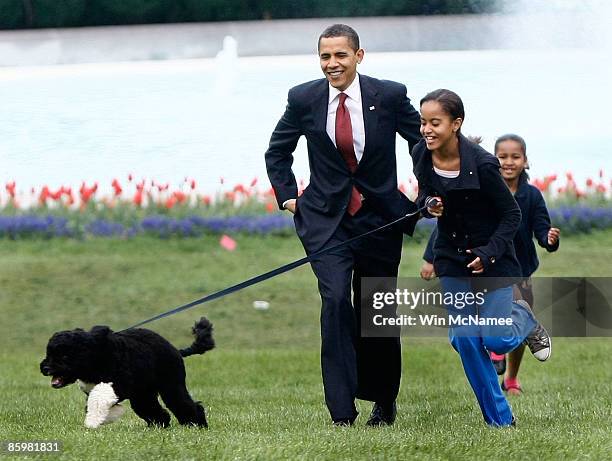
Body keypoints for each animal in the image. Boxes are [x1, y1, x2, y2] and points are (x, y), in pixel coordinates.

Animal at [39, 316, 214, 428]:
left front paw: (95, 420)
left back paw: (196, 424)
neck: (96, 356)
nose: (45, 368)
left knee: (184, 404)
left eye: (64, 355)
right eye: (49, 352)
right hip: (143, 394)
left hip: (171, 385)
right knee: (153, 410)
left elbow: (99, 401)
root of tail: (177, 351)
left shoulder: (118, 386)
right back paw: (160, 425)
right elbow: (95, 403)